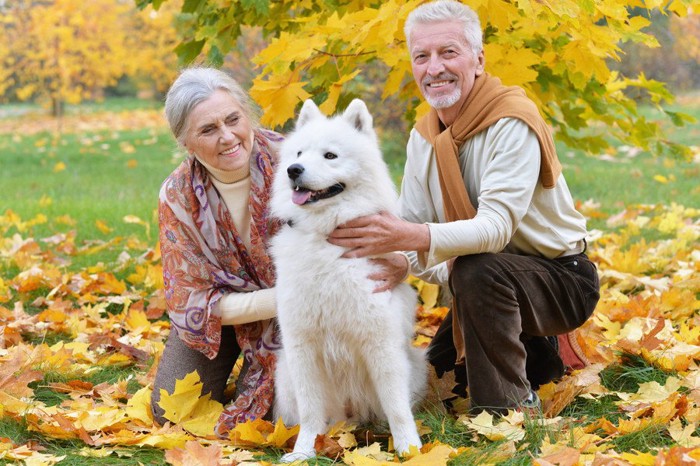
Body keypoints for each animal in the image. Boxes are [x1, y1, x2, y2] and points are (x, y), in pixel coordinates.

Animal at [270, 100, 426, 460]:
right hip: (284, 372)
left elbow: (397, 406)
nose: (293, 170)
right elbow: (310, 412)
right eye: (299, 152)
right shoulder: (302, 347)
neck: (326, 238)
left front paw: (409, 449)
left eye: (330, 155)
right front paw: (303, 453)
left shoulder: (380, 342)